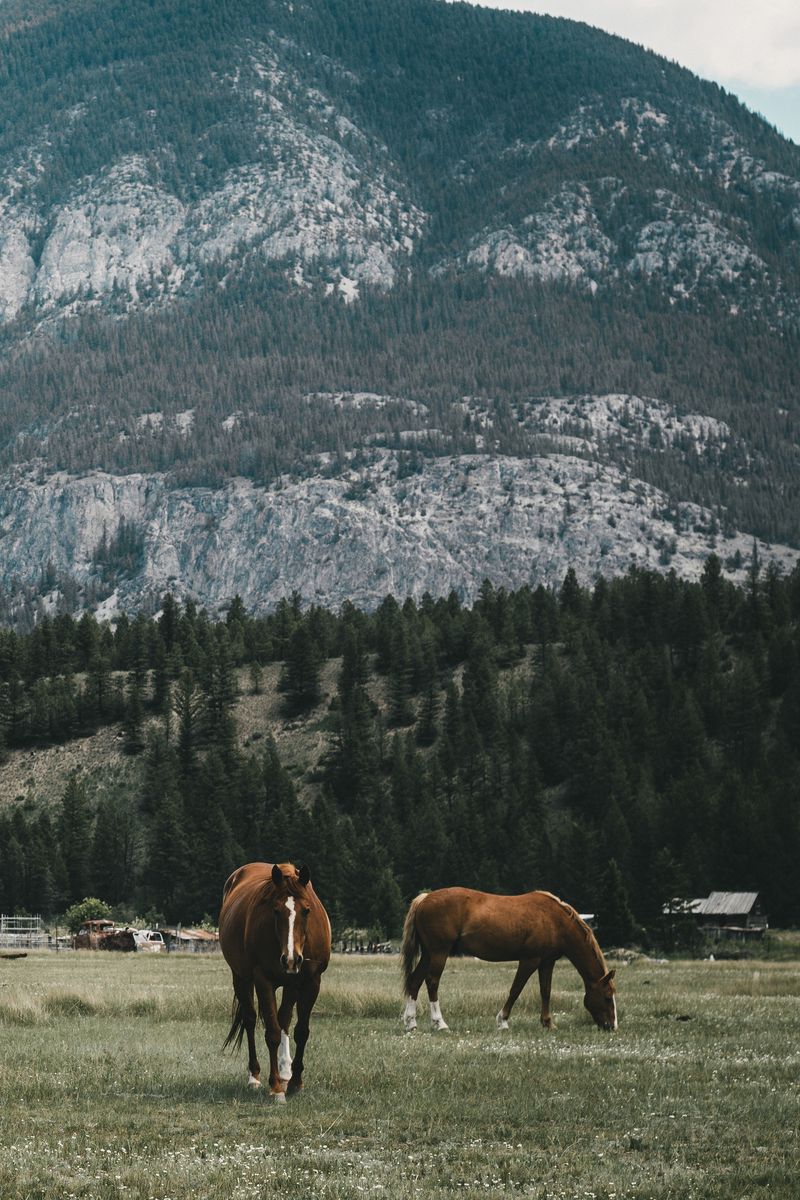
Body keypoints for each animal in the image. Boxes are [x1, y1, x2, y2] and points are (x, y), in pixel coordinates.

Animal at [219, 861, 331, 1101]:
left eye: (307, 910)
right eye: (276, 910)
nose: (291, 959)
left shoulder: (311, 981)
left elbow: (301, 1031)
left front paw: (296, 1081)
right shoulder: (263, 981)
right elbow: (271, 1033)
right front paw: (276, 1087)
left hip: (291, 985)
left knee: (285, 1020)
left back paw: (286, 1071)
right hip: (241, 978)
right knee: (250, 1020)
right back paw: (254, 1077)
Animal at [401, 887, 617, 1033]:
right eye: (607, 997)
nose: (612, 1026)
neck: (555, 920)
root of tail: (425, 898)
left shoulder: (547, 962)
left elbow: (545, 991)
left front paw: (547, 1023)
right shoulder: (530, 960)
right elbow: (515, 989)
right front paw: (503, 1021)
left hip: (429, 954)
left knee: (415, 981)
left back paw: (411, 1022)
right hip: (439, 952)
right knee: (432, 982)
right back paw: (440, 1023)